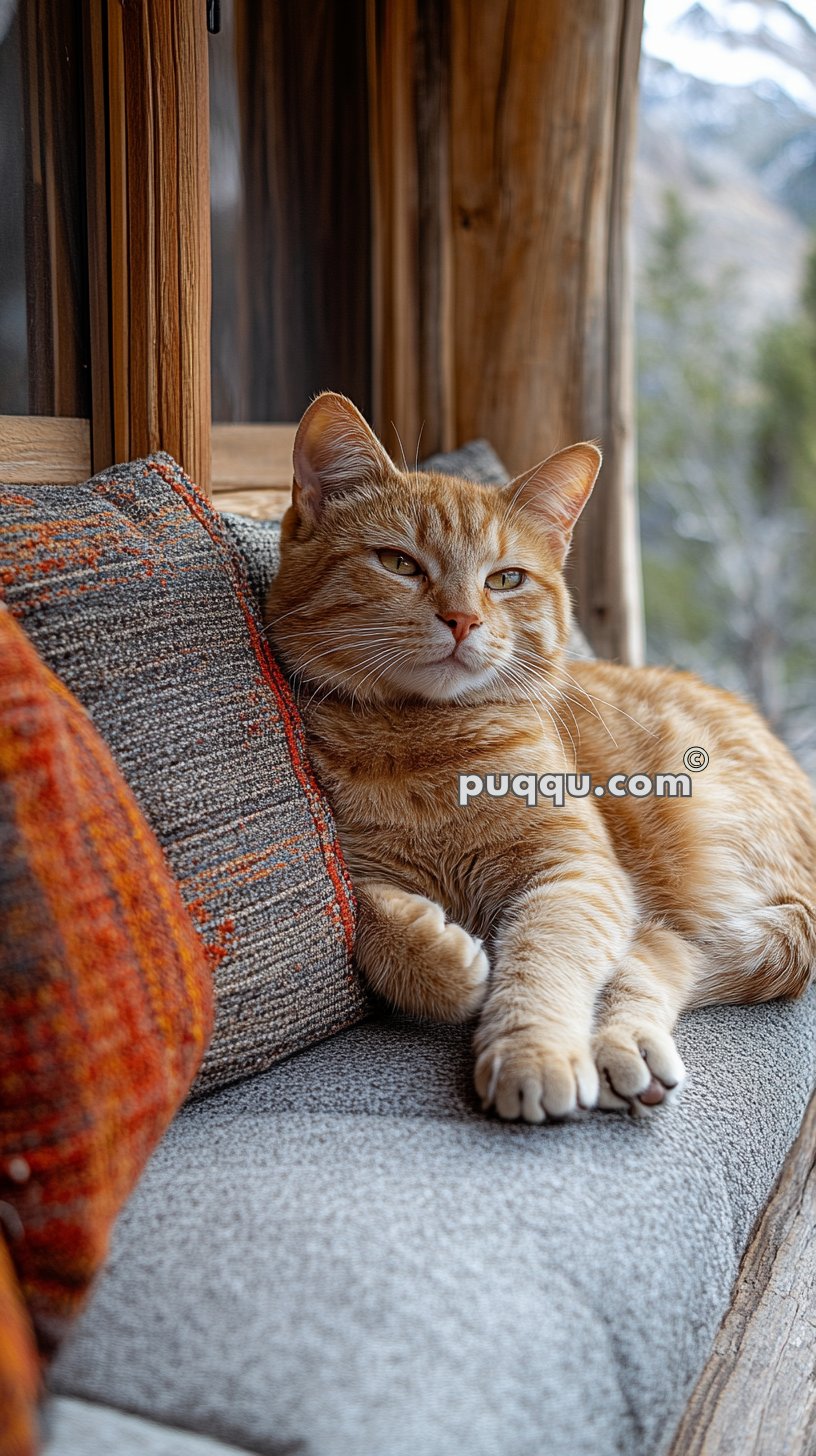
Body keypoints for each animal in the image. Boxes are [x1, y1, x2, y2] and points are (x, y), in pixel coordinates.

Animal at [265, 393, 810, 1118]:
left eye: (505, 579)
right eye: (400, 564)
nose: (462, 619)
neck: (428, 746)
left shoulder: (576, 874)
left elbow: (542, 961)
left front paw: (533, 1050)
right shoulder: (359, 867)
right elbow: (369, 915)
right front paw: (446, 963)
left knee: (658, 952)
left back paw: (622, 1047)